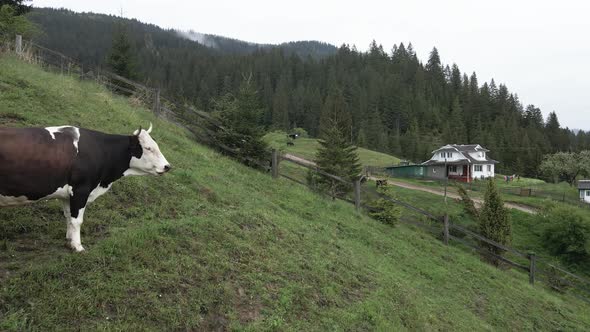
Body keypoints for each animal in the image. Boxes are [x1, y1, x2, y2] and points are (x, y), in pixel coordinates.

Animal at [0, 124, 171, 252]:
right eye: (148, 148)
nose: (167, 166)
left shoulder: (67, 194)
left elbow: (69, 217)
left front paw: (69, 240)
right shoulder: (80, 190)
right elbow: (77, 220)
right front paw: (78, 246)